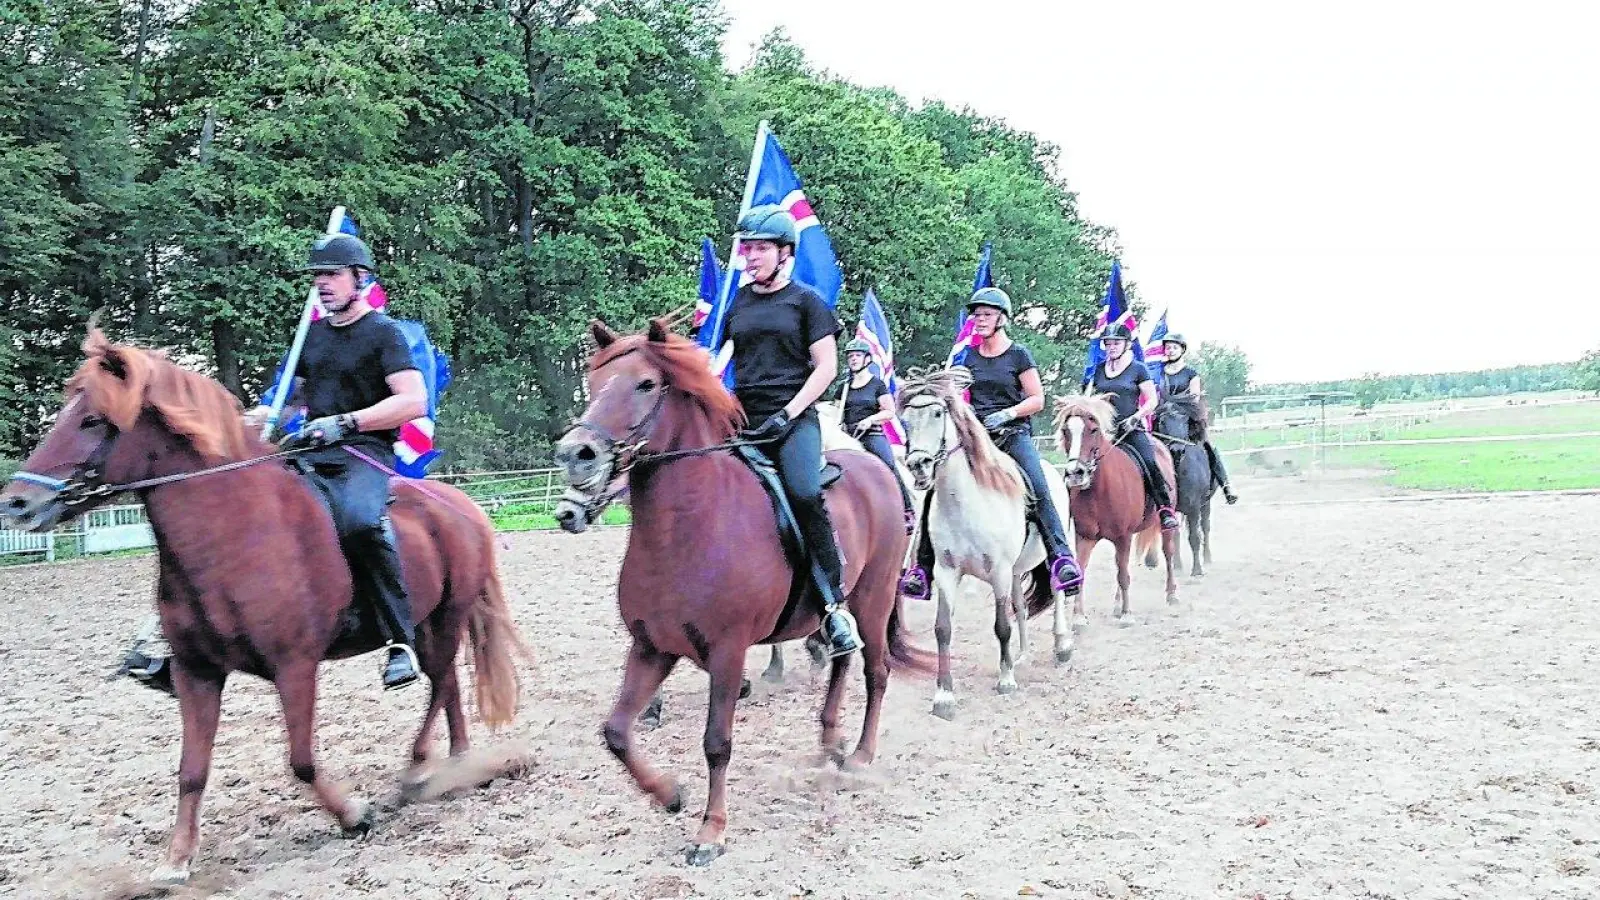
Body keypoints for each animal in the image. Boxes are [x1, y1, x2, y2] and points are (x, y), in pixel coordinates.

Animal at [0, 328, 528, 883]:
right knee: (448, 688)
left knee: (441, 683)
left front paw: (353, 815)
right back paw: (455, 763)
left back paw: (423, 767)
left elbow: (300, 760)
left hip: (445, 620)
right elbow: (191, 771)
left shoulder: (294, 668)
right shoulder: (197, 672)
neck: (234, 532)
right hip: (428, 623)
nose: (17, 503)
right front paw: (176, 860)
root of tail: (464, 508)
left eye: (93, 420)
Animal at [553, 317, 934, 864]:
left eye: (645, 384)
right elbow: (617, 732)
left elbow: (717, 742)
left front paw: (710, 832)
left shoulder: (727, 653)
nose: (576, 454)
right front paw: (670, 794)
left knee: (876, 671)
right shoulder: (652, 647)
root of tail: (881, 471)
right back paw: (830, 739)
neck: (689, 527)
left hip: (874, 597)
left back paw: (861, 755)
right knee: (842, 661)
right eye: (594, 381)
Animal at [896, 360, 1068, 717]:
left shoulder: (999, 570)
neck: (968, 503)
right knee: (1021, 606)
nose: (918, 465)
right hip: (1017, 571)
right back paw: (1022, 656)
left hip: (1047, 556)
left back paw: (1062, 645)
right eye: (905, 421)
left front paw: (1005, 681)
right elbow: (943, 629)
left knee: (1059, 592)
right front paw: (944, 695)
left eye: (937, 413)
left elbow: (1001, 625)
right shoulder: (947, 571)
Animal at [1056, 395, 1184, 621]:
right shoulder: (1085, 536)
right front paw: (1079, 617)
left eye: (1093, 429)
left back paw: (1172, 595)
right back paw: (1116, 604)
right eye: (1065, 431)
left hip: (1165, 522)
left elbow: (1123, 574)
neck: (1100, 490)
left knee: (1167, 553)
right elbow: (1083, 571)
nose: (1075, 473)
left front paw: (1126, 614)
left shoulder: (1123, 536)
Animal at [1152, 393, 1209, 573]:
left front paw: (1197, 570)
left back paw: (1208, 558)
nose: (1177, 450)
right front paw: (1175, 565)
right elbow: (1172, 537)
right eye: (1162, 421)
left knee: (1206, 528)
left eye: (1185, 421)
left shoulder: (1194, 507)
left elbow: (1195, 537)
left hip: (1206, 504)